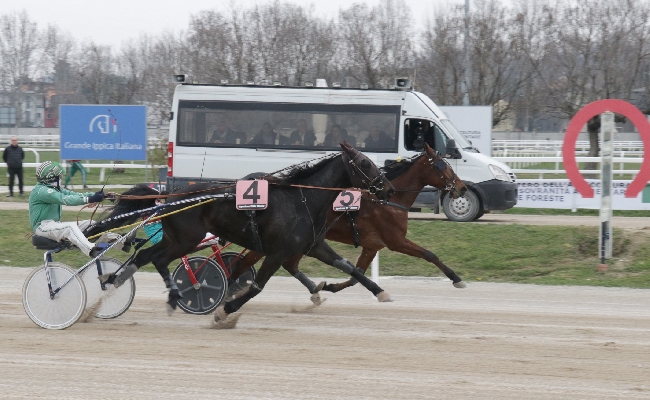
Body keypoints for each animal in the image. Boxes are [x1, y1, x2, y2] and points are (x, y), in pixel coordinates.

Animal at [86, 142, 394, 324]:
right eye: (365, 164)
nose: (388, 188)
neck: (302, 200)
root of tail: (171, 195)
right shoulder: (278, 252)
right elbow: (257, 286)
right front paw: (225, 310)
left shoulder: (314, 245)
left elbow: (350, 267)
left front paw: (381, 293)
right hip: (188, 238)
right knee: (157, 258)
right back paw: (174, 295)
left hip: (177, 238)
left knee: (146, 256)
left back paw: (116, 282)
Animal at [230, 142, 468, 302]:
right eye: (442, 166)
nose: (463, 187)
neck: (388, 201)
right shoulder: (396, 241)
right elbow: (430, 254)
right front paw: (456, 278)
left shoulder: (372, 246)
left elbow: (356, 275)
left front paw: (330, 286)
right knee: (244, 264)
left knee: (288, 264)